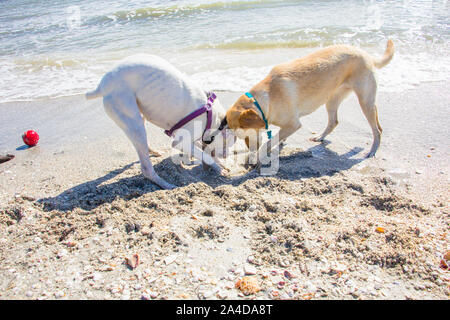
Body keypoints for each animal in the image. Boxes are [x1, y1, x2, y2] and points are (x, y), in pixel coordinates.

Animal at [85, 54, 232, 190]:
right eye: (228, 145)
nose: (226, 155)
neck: (212, 115)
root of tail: (102, 85)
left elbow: (201, 149)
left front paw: (218, 163)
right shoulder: (181, 141)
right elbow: (204, 155)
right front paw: (219, 168)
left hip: (139, 116)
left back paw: (154, 152)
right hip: (132, 119)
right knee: (146, 169)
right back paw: (167, 185)